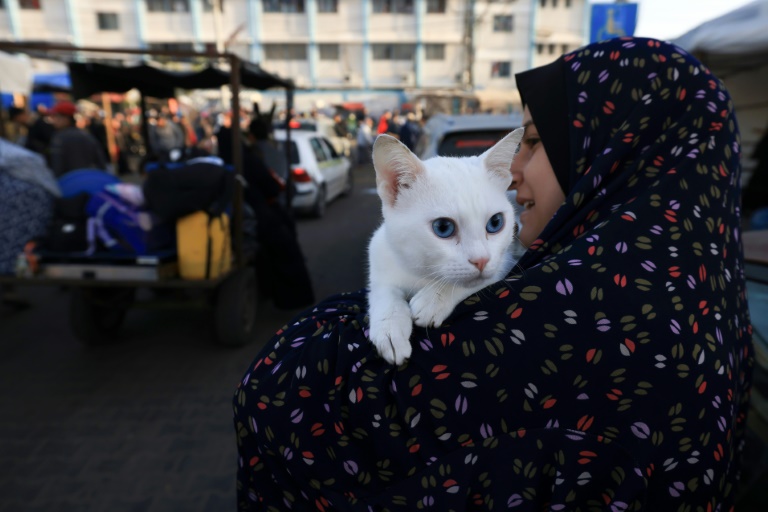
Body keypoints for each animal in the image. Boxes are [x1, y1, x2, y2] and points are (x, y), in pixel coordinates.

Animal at [364, 127, 520, 364]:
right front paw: (389, 328)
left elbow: (477, 280)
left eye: (495, 223)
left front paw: (435, 298)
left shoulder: (506, 259)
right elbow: (383, 291)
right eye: (443, 227)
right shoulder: (380, 254)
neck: (421, 271)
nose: (482, 260)